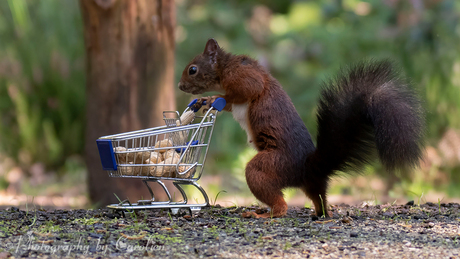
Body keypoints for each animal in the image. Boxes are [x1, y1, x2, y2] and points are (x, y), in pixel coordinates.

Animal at [177, 37, 424, 218]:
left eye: (192, 69)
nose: (179, 86)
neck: (225, 67)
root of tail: (307, 167)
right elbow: (230, 103)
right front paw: (206, 100)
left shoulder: (243, 76)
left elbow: (246, 90)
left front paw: (211, 99)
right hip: (311, 185)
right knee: (319, 197)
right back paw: (320, 213)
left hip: (270, 166)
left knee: (279, 204)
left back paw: (265, 214)